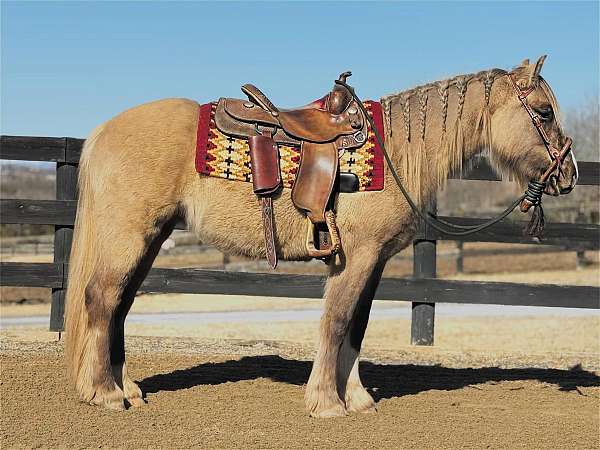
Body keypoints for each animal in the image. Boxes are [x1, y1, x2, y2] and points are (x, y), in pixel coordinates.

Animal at [64, 57, 576, 418]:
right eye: (544, 112)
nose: (567, 176)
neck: (394, 153)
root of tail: (103, 131)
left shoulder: (376, 262)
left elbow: (357, 327)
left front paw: (358, 399)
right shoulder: (357, 257)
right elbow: (336, 322)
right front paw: (327, 402)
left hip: (150, 238)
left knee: (119, 307)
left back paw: (127, 389)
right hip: (129, 236)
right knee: (101, 299)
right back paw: (105, 393)